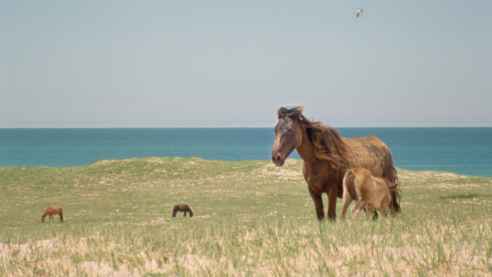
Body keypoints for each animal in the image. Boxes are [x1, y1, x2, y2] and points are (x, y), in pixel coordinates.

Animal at [270, 105, 402, 220]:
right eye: (275, 130)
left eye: (290, 130)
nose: (276, 157)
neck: (318, 161)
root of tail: (383, 145)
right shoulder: (314, 192)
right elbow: (321, 217)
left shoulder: (331, 191)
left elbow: (331, 216)